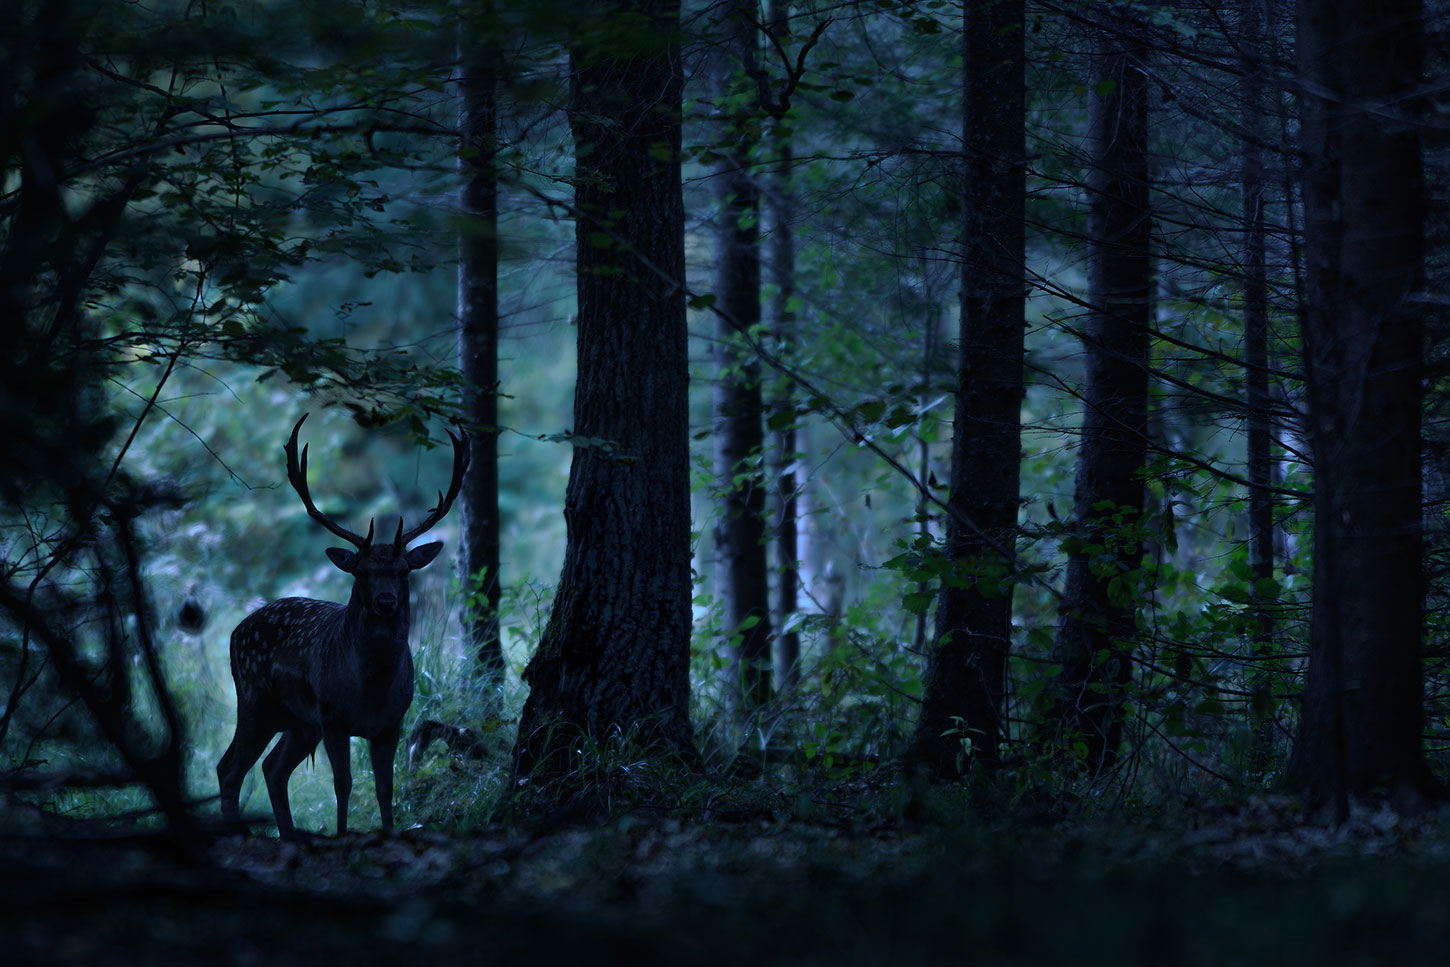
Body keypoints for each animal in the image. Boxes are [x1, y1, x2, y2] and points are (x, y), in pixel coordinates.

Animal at [217, 413, 469, 840]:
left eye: (403, 571)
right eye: (362, 572)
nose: (386, 602)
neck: (371, 690)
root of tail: (235, 632)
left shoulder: (392, 721)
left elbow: (385, 786)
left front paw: (389, 833)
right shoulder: (333, 717)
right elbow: (344, 784)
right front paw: (341, 834)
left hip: (299, 722)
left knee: (272, 768)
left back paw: (289, 835)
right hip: (254, 700)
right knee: (230, 767)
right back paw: (241, 834)